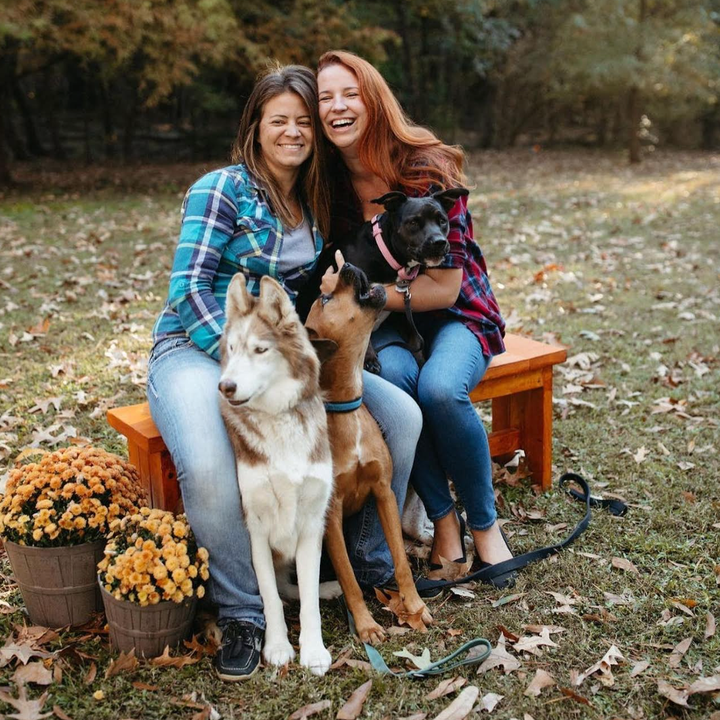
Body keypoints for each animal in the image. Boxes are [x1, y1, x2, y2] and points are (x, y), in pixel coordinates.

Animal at [218, 274, 334, 676]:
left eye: (259, 350)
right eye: (232, 349)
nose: (226, 386)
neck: (278, 418)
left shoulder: (313, 523)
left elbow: (310, 599)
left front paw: (313, 650)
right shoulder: (255, 527)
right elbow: (268, 594)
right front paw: (279, 646)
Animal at [306, 262, 434, 640]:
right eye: (325, 298)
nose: (346, 265)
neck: (346, 410)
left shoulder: (384, 492)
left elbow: (401, 561)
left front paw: (414, 606)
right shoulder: (330, 516)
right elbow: (349, 579)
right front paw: (365, 625)